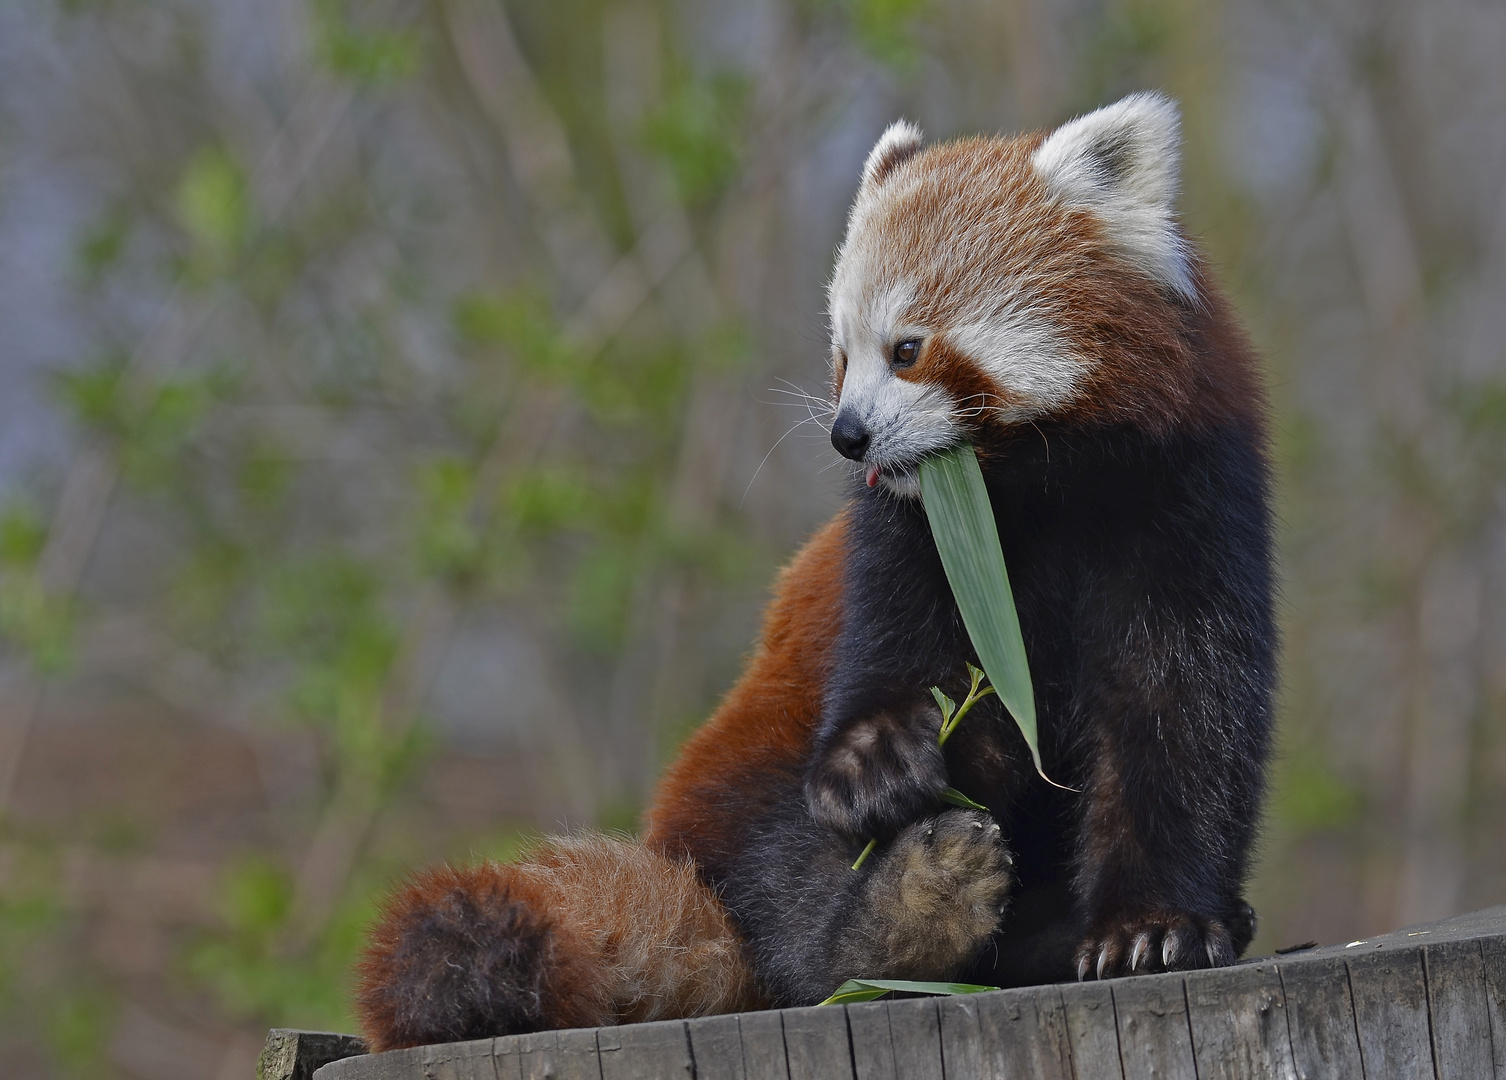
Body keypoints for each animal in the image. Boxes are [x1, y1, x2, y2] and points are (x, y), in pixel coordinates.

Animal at [352, 92, 1271, 1042]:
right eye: (840, 353)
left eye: (905, 349)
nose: (847, 435)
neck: (1032, 488)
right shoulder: (903, 544)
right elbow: (908, 667)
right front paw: (877, 758)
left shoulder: (1185, 503)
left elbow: (1180, 715)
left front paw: (1150, 929)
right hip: (741, 769)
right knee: (780, 879)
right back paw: (897, 919)